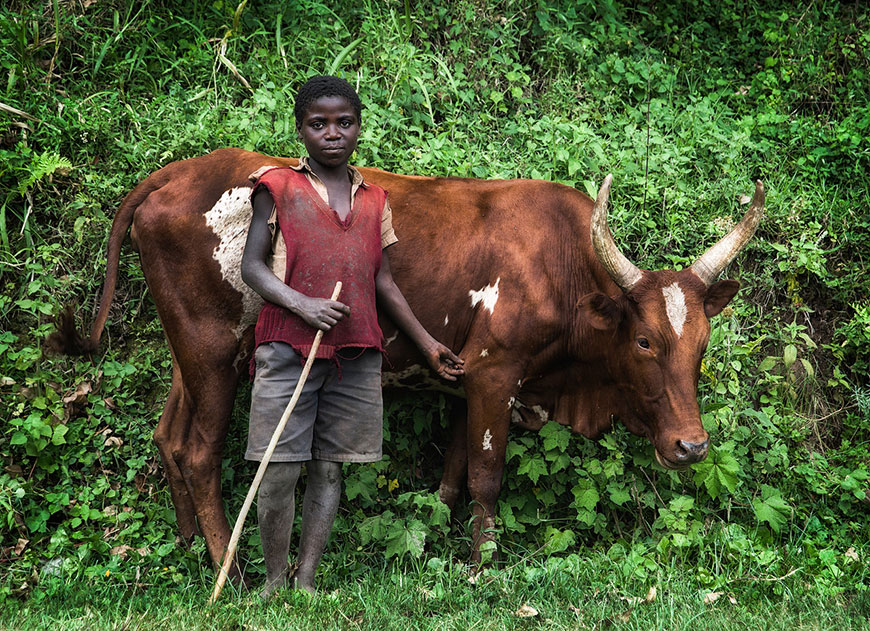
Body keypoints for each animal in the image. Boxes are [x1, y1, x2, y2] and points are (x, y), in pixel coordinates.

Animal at [51, 147, 768, 576]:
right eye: (644, 341)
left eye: (702, 344)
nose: (691, 445)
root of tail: (173, 174)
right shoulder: (496, 373)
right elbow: (486, 477)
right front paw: (482, 568)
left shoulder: (469, 379)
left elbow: (451, 476)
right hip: (211, 353)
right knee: (198, 451)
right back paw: (228, 559)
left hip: (192, 356)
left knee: (168, 437)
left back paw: (186, 545)